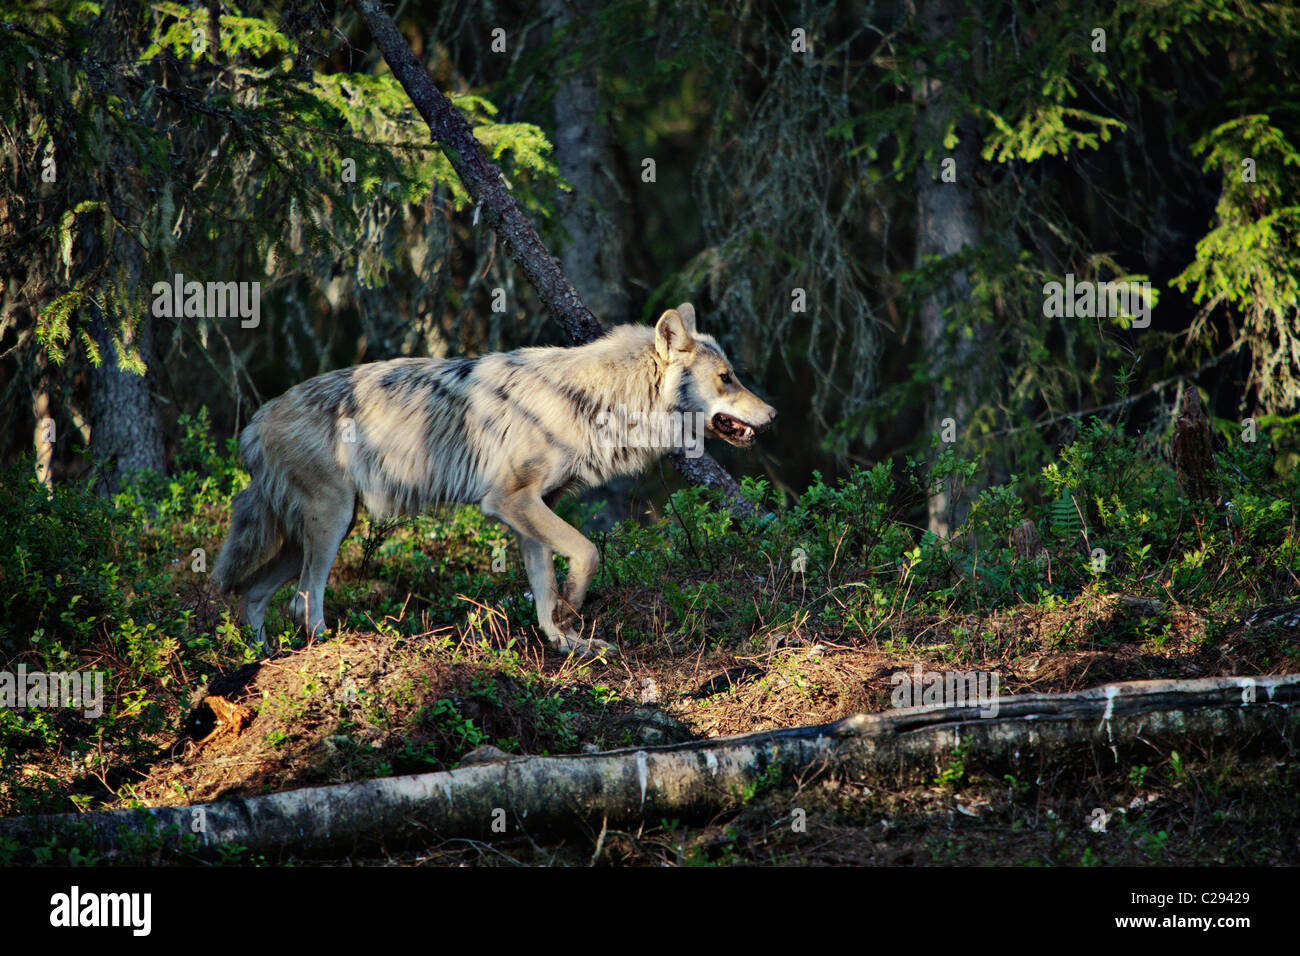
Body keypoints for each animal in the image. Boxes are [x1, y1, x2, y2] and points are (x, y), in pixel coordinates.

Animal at [211, 306, 769, 658]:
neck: (598, 401)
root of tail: (255, 421)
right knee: (302, 601)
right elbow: (589, 552)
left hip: (323, 530)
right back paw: (331, 647)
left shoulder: (532, 510)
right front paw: (573, 607)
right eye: (727, 377)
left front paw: (565, 641)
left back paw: (260, 659)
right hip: (330, 525)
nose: (774, 413)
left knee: (252, 596)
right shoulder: (509, 500)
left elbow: (544, 588)